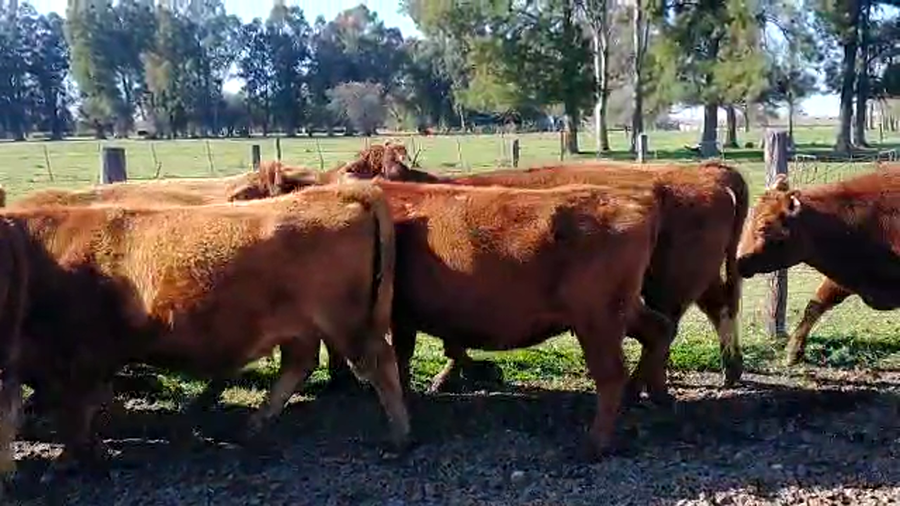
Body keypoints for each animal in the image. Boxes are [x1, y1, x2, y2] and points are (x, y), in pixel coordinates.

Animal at [0, 182, 409, 484]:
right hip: (302, 329)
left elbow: (76, 409)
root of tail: (338, 191)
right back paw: (253, 425)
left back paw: (399, 435)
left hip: (347, 325)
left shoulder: (80, 355)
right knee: (299, 365)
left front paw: (65, 459)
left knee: (378, 363)